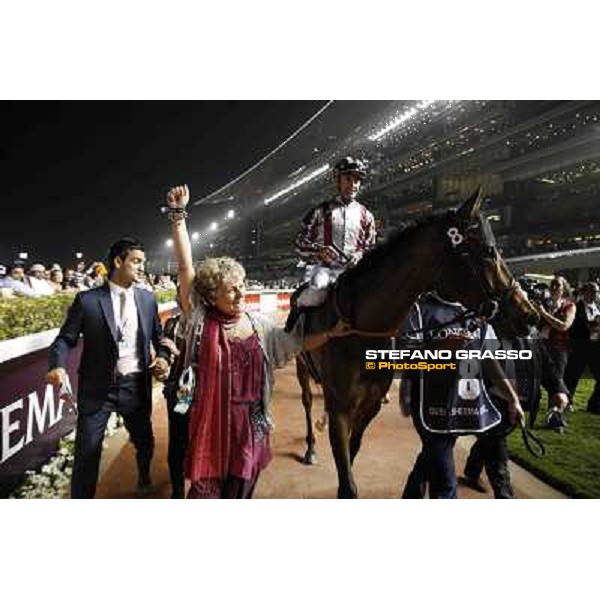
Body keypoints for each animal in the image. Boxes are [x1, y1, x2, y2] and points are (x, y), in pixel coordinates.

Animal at [292, 189, 536, 496]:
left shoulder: (369, 406)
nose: (529, 315)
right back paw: (311, 446)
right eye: (490, 252)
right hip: (301, 366)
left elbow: (353, 453)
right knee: (307, 401)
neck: (361, 331)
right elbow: (347, 483)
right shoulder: (340, 410)